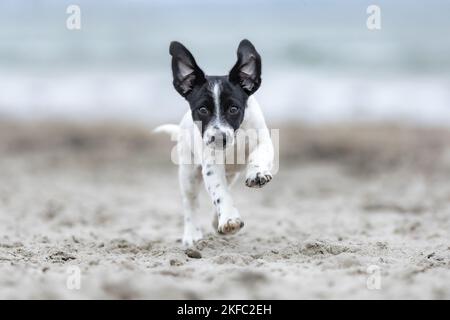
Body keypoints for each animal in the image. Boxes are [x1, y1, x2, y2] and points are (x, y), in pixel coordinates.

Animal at [155, 39, 274, 245]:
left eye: (234, 109)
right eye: (202, 110)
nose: (219, 138)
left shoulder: (264, 141)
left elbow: (258, 155)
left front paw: (257, 173)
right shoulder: (211, 166)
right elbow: (219, 193)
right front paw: (229, 218)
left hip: (231, 174)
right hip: (188, 174)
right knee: (190, 203)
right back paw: (192, 234)